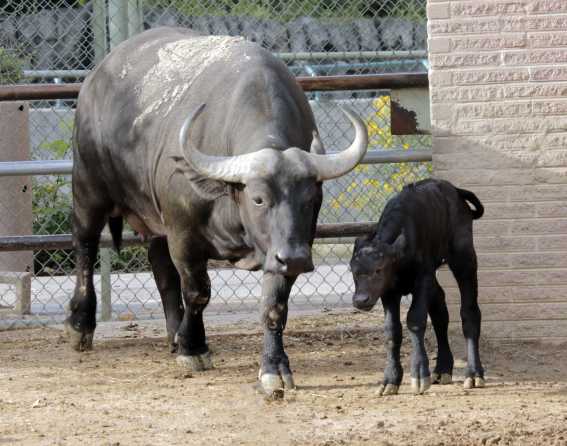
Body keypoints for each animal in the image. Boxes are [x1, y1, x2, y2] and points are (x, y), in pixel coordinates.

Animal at [67, 27, 368, 398]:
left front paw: (274, 369)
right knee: (85, 245)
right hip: (88, 188)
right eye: (258, 199)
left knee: (160, 268)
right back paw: (81, 325)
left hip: (156, 219)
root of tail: (96, 77)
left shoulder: (284, 246)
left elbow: (274, 307)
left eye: (310, 198)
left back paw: (173, 335)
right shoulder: (184, 236)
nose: (297, 258)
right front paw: (193, 349)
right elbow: (198, 292)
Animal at [352, 179, 486, 396]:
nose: (361, 299)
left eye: (378, 270)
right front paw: (390, 379)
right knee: (440, 310)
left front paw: (419, 374)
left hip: (464, 257)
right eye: (353, 270)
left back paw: (474, 374)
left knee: (470, 312)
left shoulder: (423, 279)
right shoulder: (389, 292)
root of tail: (455, 191)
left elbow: (415, 320)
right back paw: (443, 369)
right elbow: (392, 330)